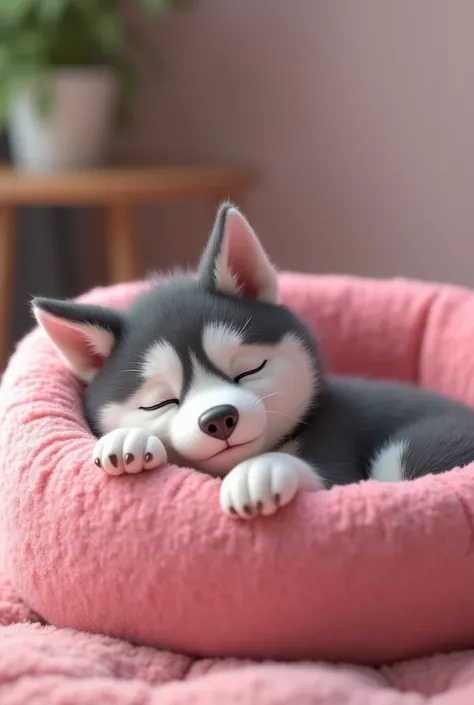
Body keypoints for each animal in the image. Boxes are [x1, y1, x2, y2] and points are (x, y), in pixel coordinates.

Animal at [32, 202, 474, 516]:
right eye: (160, 402)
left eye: (248, 369)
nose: (219, 418)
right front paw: (129, 438)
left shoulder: (336, 441)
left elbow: (327, 479)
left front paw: (261, 471)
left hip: (417, 447)